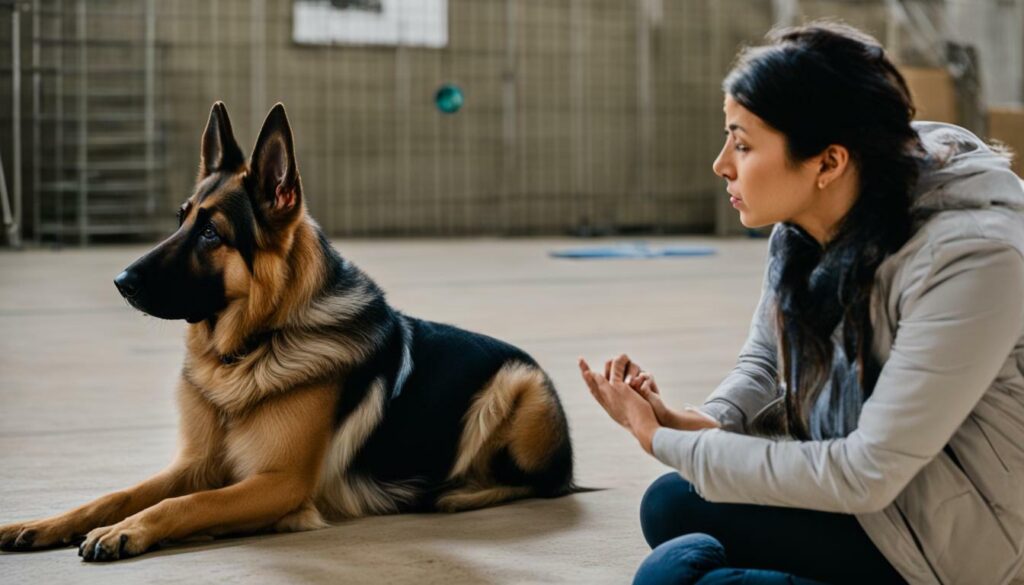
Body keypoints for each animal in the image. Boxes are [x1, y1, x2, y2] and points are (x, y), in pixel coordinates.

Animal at [0, 101, 577, 561]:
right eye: (181, 219)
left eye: (211, 234)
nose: (120, 282)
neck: (250, 349)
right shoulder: (197, 463)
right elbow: (117, 494)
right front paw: (47, 522)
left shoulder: (278, 483)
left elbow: (189, 503)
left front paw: (130, 530)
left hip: (513, 386)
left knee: (538, 484)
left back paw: (458, 493)